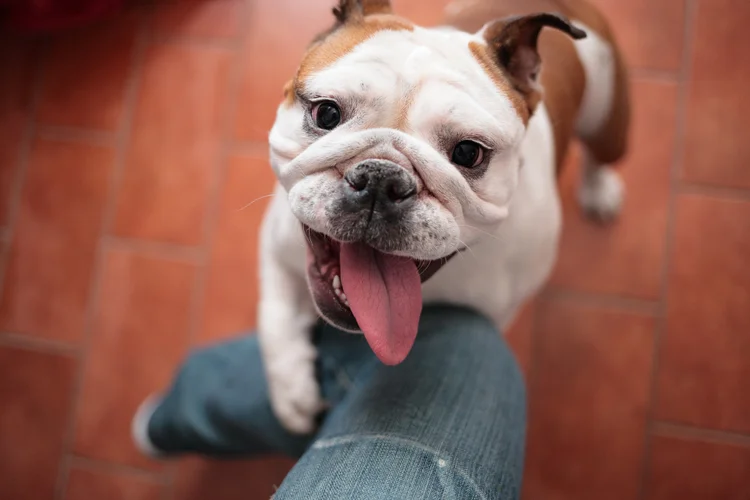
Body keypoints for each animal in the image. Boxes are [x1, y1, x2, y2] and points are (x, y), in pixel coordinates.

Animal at [258, 0, 628, 434]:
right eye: (326, 113)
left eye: (469, 153)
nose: (381, 179)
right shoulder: (277, 251)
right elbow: (275, 317)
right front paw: (293, 393)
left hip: (610, 123)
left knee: (599, 155)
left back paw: (599, 189)